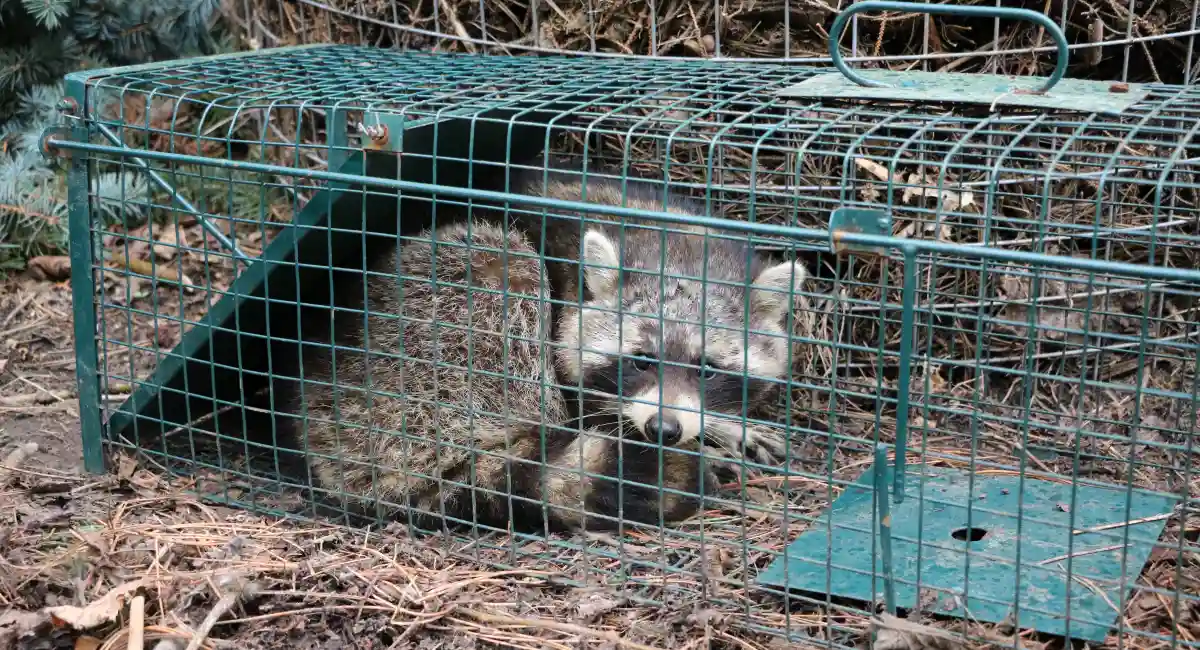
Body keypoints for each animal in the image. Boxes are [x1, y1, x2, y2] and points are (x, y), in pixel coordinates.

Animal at [505, 167, 806, 469]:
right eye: (641, 361)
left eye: (707, 370)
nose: (663, 429)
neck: (681, 250)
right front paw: (702, 450)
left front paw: (725, 428)